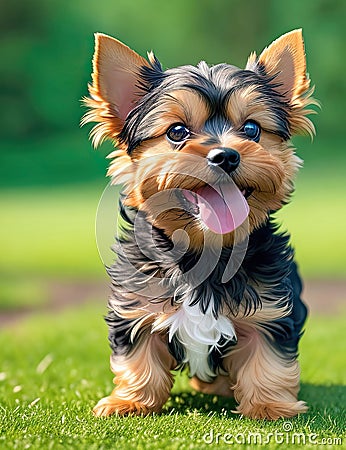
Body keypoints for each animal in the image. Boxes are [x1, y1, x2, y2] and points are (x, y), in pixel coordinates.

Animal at [82, 29, 314, 420]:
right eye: (177, 131)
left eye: (251, 129)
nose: (226, 155)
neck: (203, 245)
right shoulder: (135, 302)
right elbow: (137, 357)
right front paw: (129, 401)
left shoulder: (271, 306)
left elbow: (268, 358)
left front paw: (269, 406)